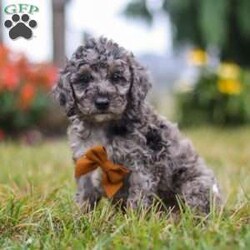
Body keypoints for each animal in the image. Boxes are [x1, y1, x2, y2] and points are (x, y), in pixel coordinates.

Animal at [52, 38, 221, 214]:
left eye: (116, 77)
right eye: (84, 79)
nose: (102, 102)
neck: (103, 125)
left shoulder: (141, 164)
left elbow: (138, 197)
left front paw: (134, 219)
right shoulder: (85, 161)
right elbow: (85, 196)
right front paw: (79, 217)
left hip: (196, 186)